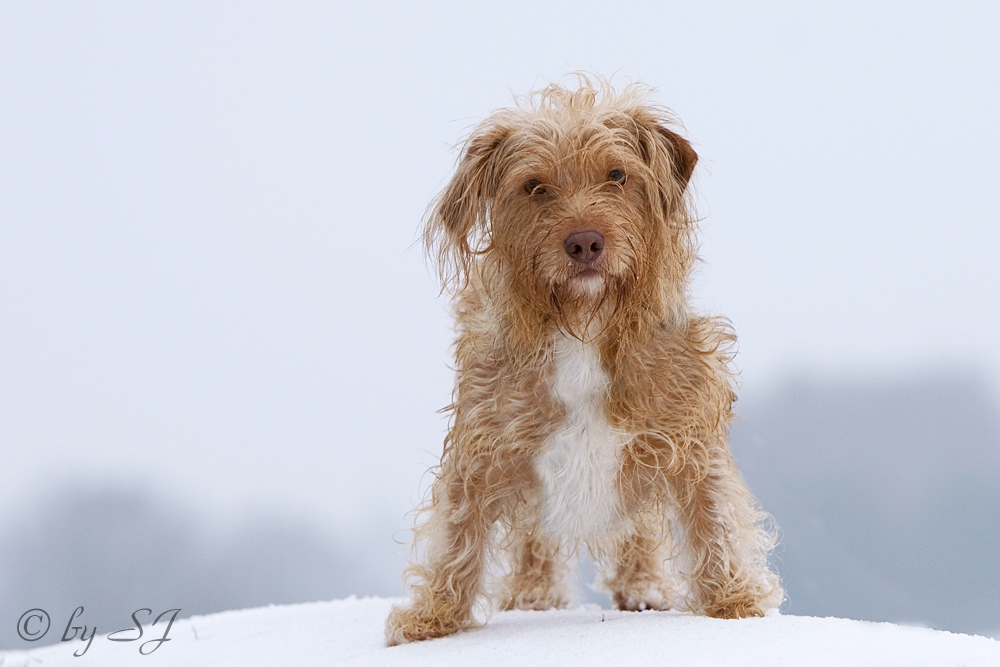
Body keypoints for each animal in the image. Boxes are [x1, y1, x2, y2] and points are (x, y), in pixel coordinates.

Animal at [382, 74, 780, 648]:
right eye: (534, 186)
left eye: (617, 175)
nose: (585, 242)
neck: (583, 326)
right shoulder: (485, 443)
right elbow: (458, 537)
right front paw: (433, 619)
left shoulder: (683, 433)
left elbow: (713, 522)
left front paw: (734, 604)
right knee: (532, 534)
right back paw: (534, 595)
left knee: (639, 528)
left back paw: (643, 586)